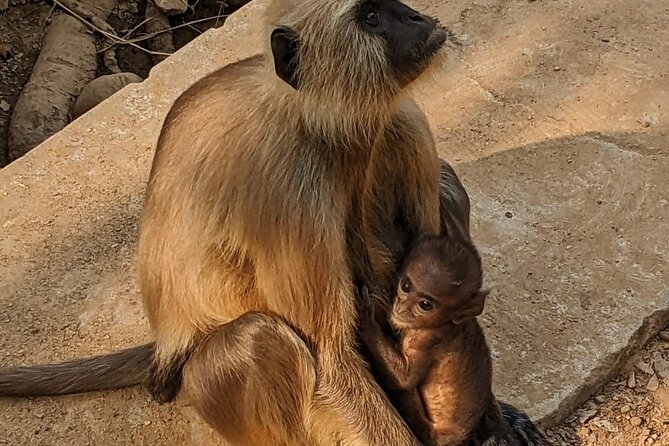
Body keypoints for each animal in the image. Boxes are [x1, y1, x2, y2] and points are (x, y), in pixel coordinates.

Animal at [0, 0, 472, 444]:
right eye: (371, 17)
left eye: (393, 7)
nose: (416, 18)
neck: (318, 120)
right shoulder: (288, 188)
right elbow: (332, 361)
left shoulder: (396, 122)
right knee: (258, 337)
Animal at [354, 214, 544, 444]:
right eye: (405, 286)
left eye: (425, 304)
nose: (401, 308)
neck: (449, 323)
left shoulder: (426, 337)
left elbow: (404, 379)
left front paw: (366, 319)